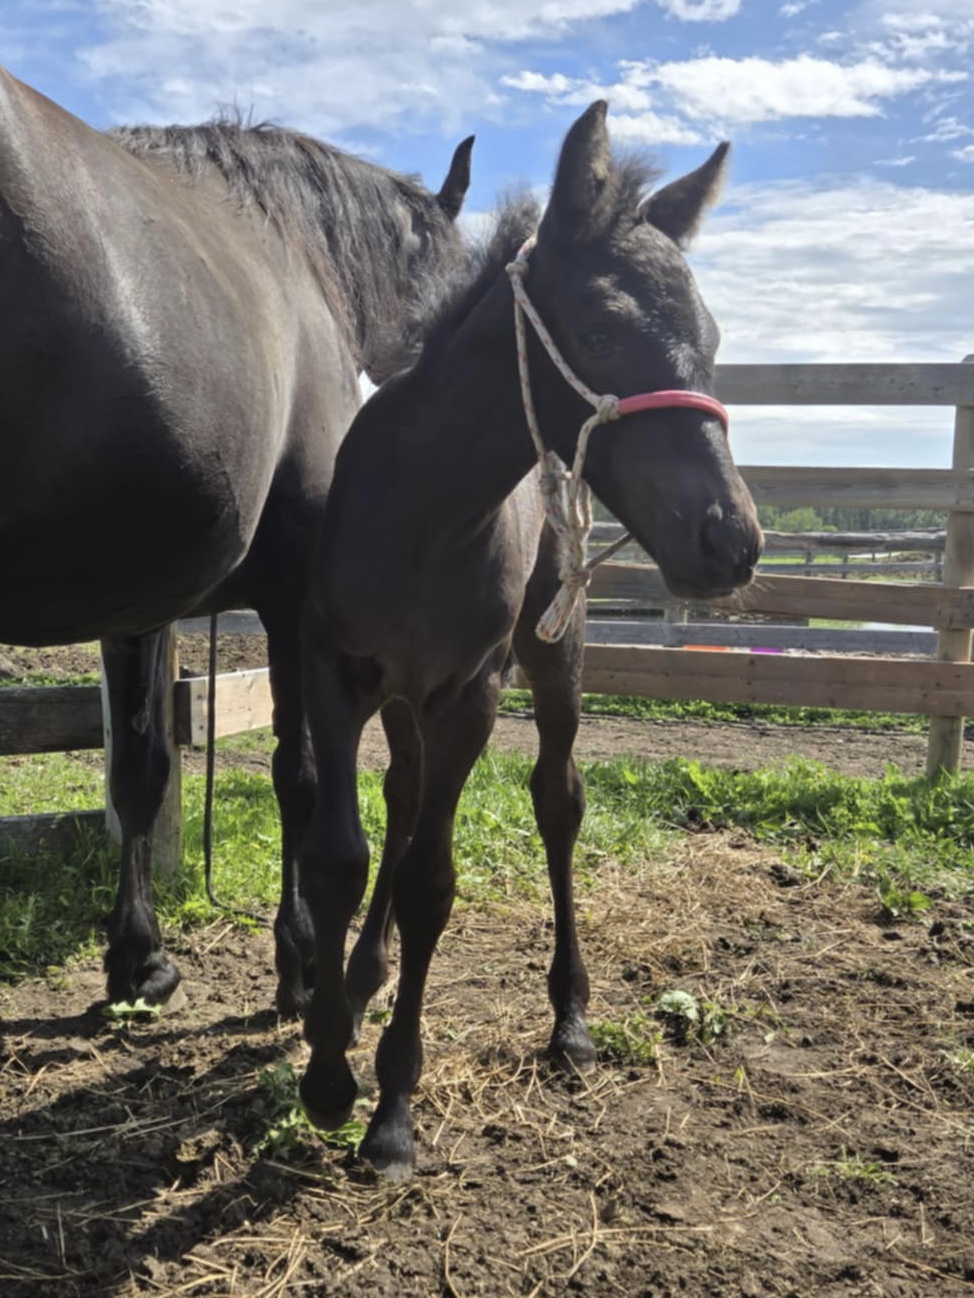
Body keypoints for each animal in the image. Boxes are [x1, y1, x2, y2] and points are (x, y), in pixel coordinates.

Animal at [0, 64, 473, 1016]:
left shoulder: (138, 607)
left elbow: (139, 772)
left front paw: (138, 959)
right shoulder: (291, 601)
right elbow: (300, 775)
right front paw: (298, 960)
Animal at [296, 99, 765, 1179]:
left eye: (711, 336)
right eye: (598, 328)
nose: (731, 539)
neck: (420, 515)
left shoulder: (470, 689)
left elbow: (433, 879)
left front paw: (391, 1110)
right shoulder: (340, 673)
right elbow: (341, 856)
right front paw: (328, 1066)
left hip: (551, 658)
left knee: (558, 800)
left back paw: (570, 1018)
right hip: (405, 694)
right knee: (405, 795)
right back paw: (365, 971)